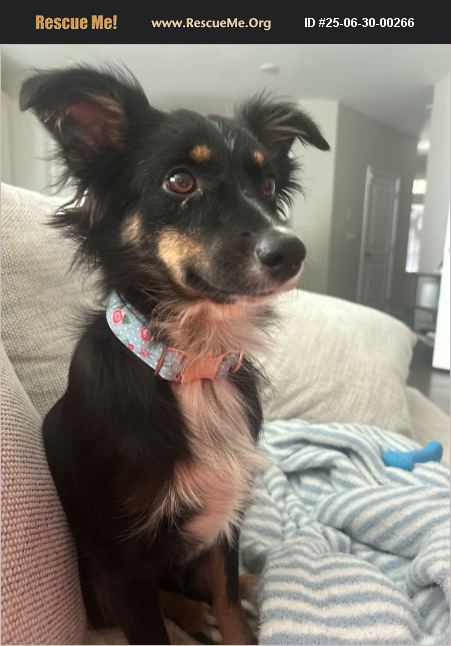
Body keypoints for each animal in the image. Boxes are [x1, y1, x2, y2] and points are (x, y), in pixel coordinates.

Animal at [20, 66, 329, 645]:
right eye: (180, 181)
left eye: (268, 186)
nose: (291, 251)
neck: (195, 365)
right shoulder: (119, 559)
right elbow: (153, 622)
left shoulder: (226, 521)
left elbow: (229, 604)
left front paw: (238, 611)